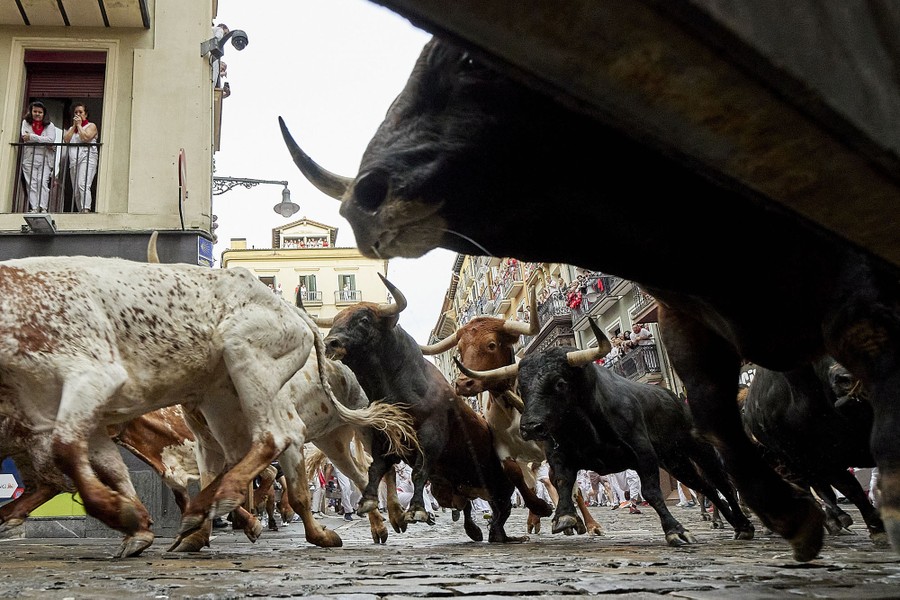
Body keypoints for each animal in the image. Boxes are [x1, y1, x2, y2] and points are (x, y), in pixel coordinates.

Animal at [317, 274, 551, 543]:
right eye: (336, 320)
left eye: (364, 319)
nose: (330, 343)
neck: (403, 386)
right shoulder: (386, 439)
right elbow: (377, 467)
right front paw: (368, 501)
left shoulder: (431, 436)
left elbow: (419, 470)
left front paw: (416, 510)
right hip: (446, 490)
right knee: (468, 506)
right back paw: (481, 530)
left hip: (499, 486)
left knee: (501, 507)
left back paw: (509, 530)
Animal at [421, 287, 602, 537]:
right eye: (460, 349)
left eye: (491, 344)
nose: (463, 384)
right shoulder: (503, 449)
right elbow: (517, 477)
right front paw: (540, 508)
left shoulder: (553, 444)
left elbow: (561, 478)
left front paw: (570, 518)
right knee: (532, 481)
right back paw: (533, 519)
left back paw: (590, 523)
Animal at [456, 319, 756, 547]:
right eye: (523, 387)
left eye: (560, 383)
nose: (530, 427)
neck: (585, 425)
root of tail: (674, 397)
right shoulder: (560, 454)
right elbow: (562, 481)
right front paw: (564, 516)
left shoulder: (642, 452)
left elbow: (651, 491)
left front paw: (675, 531)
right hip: (675, 461)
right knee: (705, 487)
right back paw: (731, 522)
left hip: (698, 450)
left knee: (722, 483)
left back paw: (742, 524)